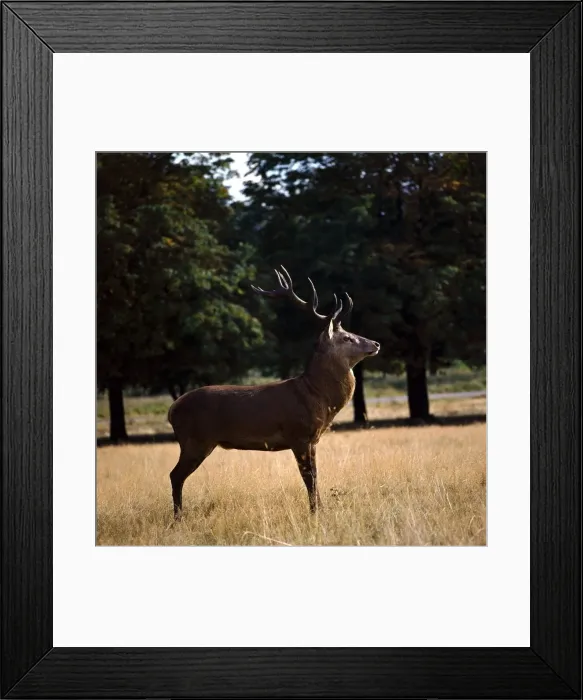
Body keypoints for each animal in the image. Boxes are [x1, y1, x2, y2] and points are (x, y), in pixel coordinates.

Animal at [168, 266, 380, 519]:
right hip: (196, 439)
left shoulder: (313, 439)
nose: (376, 344)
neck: (316, 396)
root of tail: (172, 409)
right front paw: (314, 513)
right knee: (175, 475)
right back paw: (178, 518)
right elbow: (308, 478)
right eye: (347, 337)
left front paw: (321, 509)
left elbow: (316, 475)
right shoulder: (298, 434)